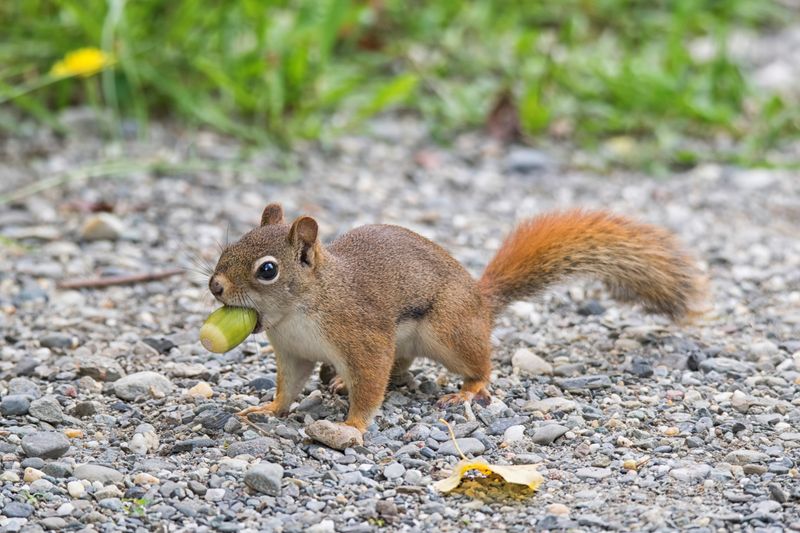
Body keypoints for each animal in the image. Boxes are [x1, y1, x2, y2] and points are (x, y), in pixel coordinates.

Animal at [209, 203, 704, 433]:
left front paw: (352, 425)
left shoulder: (362, 335)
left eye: (267, 270)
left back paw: (468, 390)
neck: (301, 309)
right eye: (228, 248)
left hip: (449, 332)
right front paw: (268, 408)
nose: (215, 286)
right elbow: (289, 388)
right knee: (401, 367)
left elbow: (371, 380)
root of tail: (479, 301)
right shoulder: (292, 352)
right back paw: (339, 384)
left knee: (477, 364)